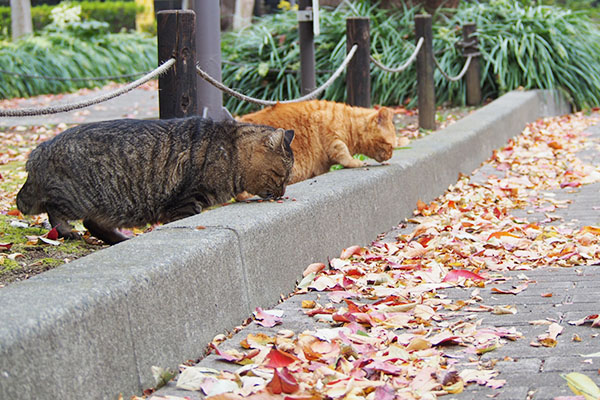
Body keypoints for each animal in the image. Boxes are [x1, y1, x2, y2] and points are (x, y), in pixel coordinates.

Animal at [19, 116, 296, 244]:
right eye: (281, 176)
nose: (282, 193)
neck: (229, 150)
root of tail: (40, 150)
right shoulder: (186, 201)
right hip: (76, 198)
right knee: (55, 210)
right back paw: (67, 231)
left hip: (111, 205)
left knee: (93, 223)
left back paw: (122, 240)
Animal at [239, 101, 398, 187]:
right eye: (390, 145)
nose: (391, 156)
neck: (349, 122)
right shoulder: (332, 138)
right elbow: (342, 151)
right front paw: (355, 162)